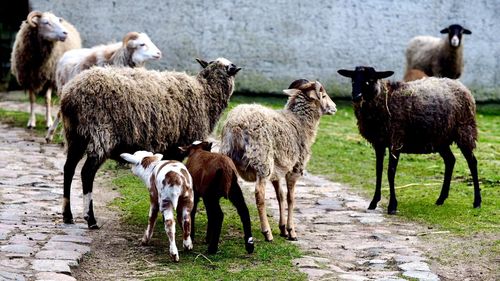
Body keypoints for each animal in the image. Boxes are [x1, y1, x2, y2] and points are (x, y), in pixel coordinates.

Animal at [59, 56, 243, 228]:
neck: (205, 94)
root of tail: (70, 95)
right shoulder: (181, 146)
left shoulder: (171, 149)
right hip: (100, 133)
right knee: (86, 173)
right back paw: (90, 219)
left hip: (75, 135)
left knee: (68, 169)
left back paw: (67, 215)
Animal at [219, 79, 336, 241]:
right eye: (323, 96)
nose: (335, 107)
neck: (300, 122)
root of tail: (236, 124)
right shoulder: (295, 168)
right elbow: (290, 198)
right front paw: (291, 231)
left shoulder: (277, 170)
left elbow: (279, 195)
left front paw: (282, 228)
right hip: (262, 162)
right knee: (259, 195)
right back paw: (267, 233)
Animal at [336, 66, 480, 214]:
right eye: (353, 79)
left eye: (370, 80)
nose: (356, 97)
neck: (385, 99)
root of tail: (460, 85)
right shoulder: (379, 143)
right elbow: (378, 171)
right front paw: (374, 202)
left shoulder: (396, 141)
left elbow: (390, 172)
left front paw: (392, 206)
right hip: (441, 138)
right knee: (450, 160)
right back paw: (441, 199)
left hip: (465, 130)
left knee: (472, 162)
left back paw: (477, 202)